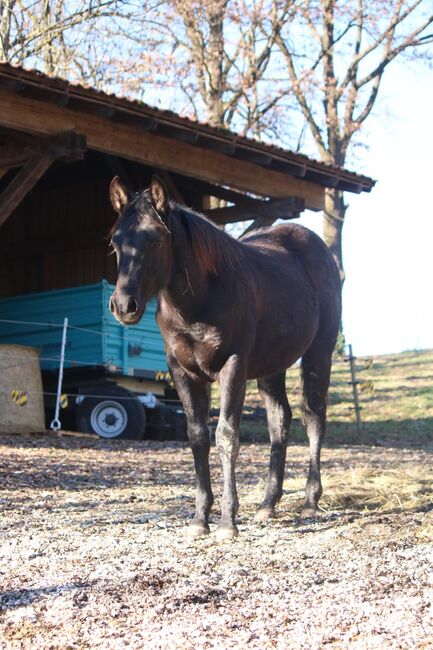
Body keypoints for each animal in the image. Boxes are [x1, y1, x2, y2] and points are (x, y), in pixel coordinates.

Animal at [108, 175, 340, 540]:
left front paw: (228, 522)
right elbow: (197, 436)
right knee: (280, 421)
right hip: (271, 368)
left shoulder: (232, 366)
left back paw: (310, 501)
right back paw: (267, 505)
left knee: (313, 416)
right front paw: (199, 518)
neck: (199, 299)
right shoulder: (182, 371)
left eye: (156, 240)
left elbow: (227, 435)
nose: (123, 305)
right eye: (116, 241)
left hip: (319, 353)